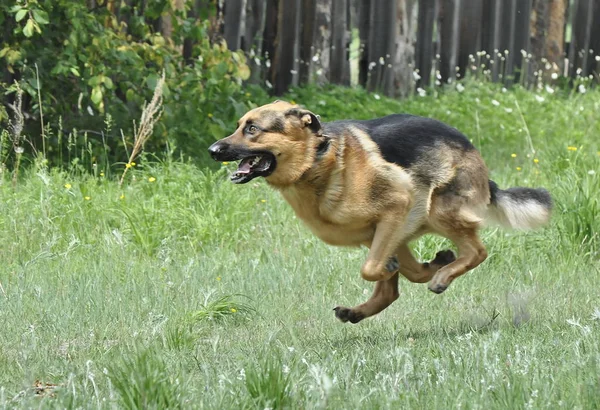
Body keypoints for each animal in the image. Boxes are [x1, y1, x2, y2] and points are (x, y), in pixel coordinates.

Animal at [207, 100, 552, 324]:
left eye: (252, 129)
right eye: (239, 127)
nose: (212, 151)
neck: (317, 161)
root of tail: (471, 148)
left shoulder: (397, 204)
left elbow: (370, 269)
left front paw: (408, 268)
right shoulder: (382, 229)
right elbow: (394, 272)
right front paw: (422, 265)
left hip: (437, 210)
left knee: (478, 251)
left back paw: (441, 276)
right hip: (404, 225)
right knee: (397, 288)